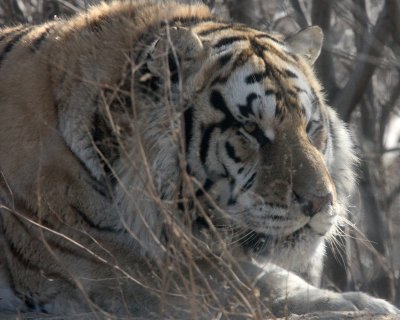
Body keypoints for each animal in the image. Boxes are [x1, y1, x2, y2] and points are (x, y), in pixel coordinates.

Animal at [0, 0, 396, 318]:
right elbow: (236, 289)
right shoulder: (102, 269)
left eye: (311, 127)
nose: (320, 202)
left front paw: (364, 302)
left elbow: (266, 279)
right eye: (251, 129)